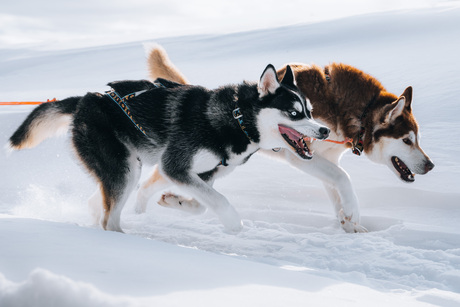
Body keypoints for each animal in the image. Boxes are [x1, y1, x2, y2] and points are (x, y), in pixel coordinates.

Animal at [8, 65, 330, 233]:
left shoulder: (199, 173)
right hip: (124, 169)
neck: (237, 118)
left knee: (101, 204)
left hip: (129, 169)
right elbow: (221, 202)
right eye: (294, 114)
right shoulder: (175, 166)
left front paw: (175, 202)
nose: (324, 130)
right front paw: (233, 224)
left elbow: (202, 203)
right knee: (109, 219)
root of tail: (88, 99)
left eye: (311, 112)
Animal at [140, 45, 434, 233]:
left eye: (417, 139)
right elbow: (343, 179)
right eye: (407, 141)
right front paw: (353, 214)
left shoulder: (323, 157)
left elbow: (337, 189)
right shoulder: (301, 156)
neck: (351, 111)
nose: (431, 165)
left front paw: (349, 223)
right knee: (160, 179)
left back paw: (173, 202)